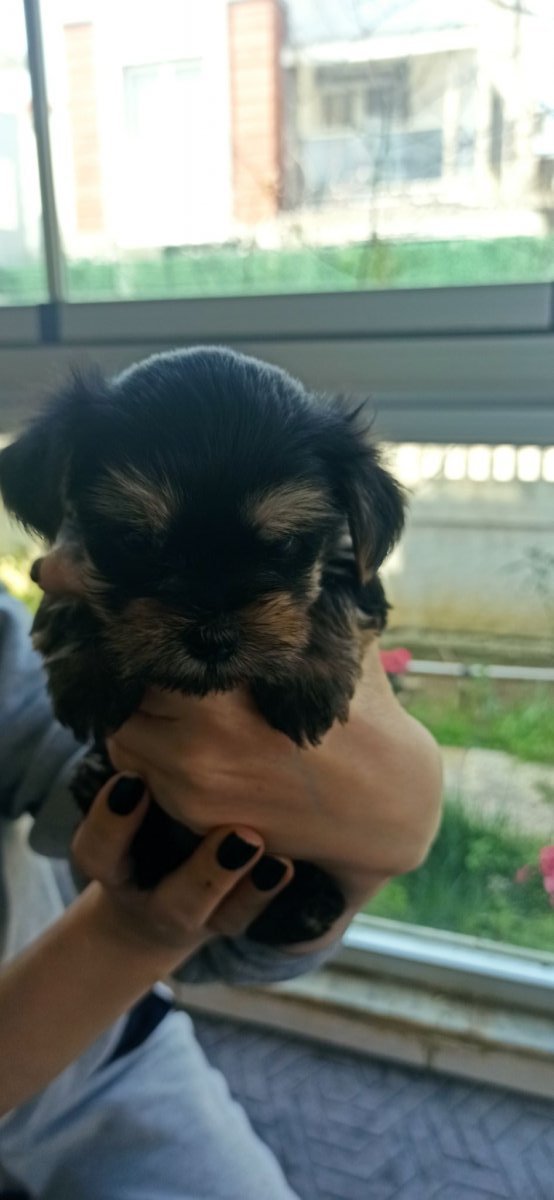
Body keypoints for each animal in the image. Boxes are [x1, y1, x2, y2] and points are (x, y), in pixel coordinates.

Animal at [0, 346, 405, 944]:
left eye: (284, 544)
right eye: (135, 542)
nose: (213, 636)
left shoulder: (358, 567)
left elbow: (336, 589)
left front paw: (306, 683)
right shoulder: (68, 553)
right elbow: (73, 586)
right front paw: (88, 675)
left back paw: (310, 903)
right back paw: (95, 778)